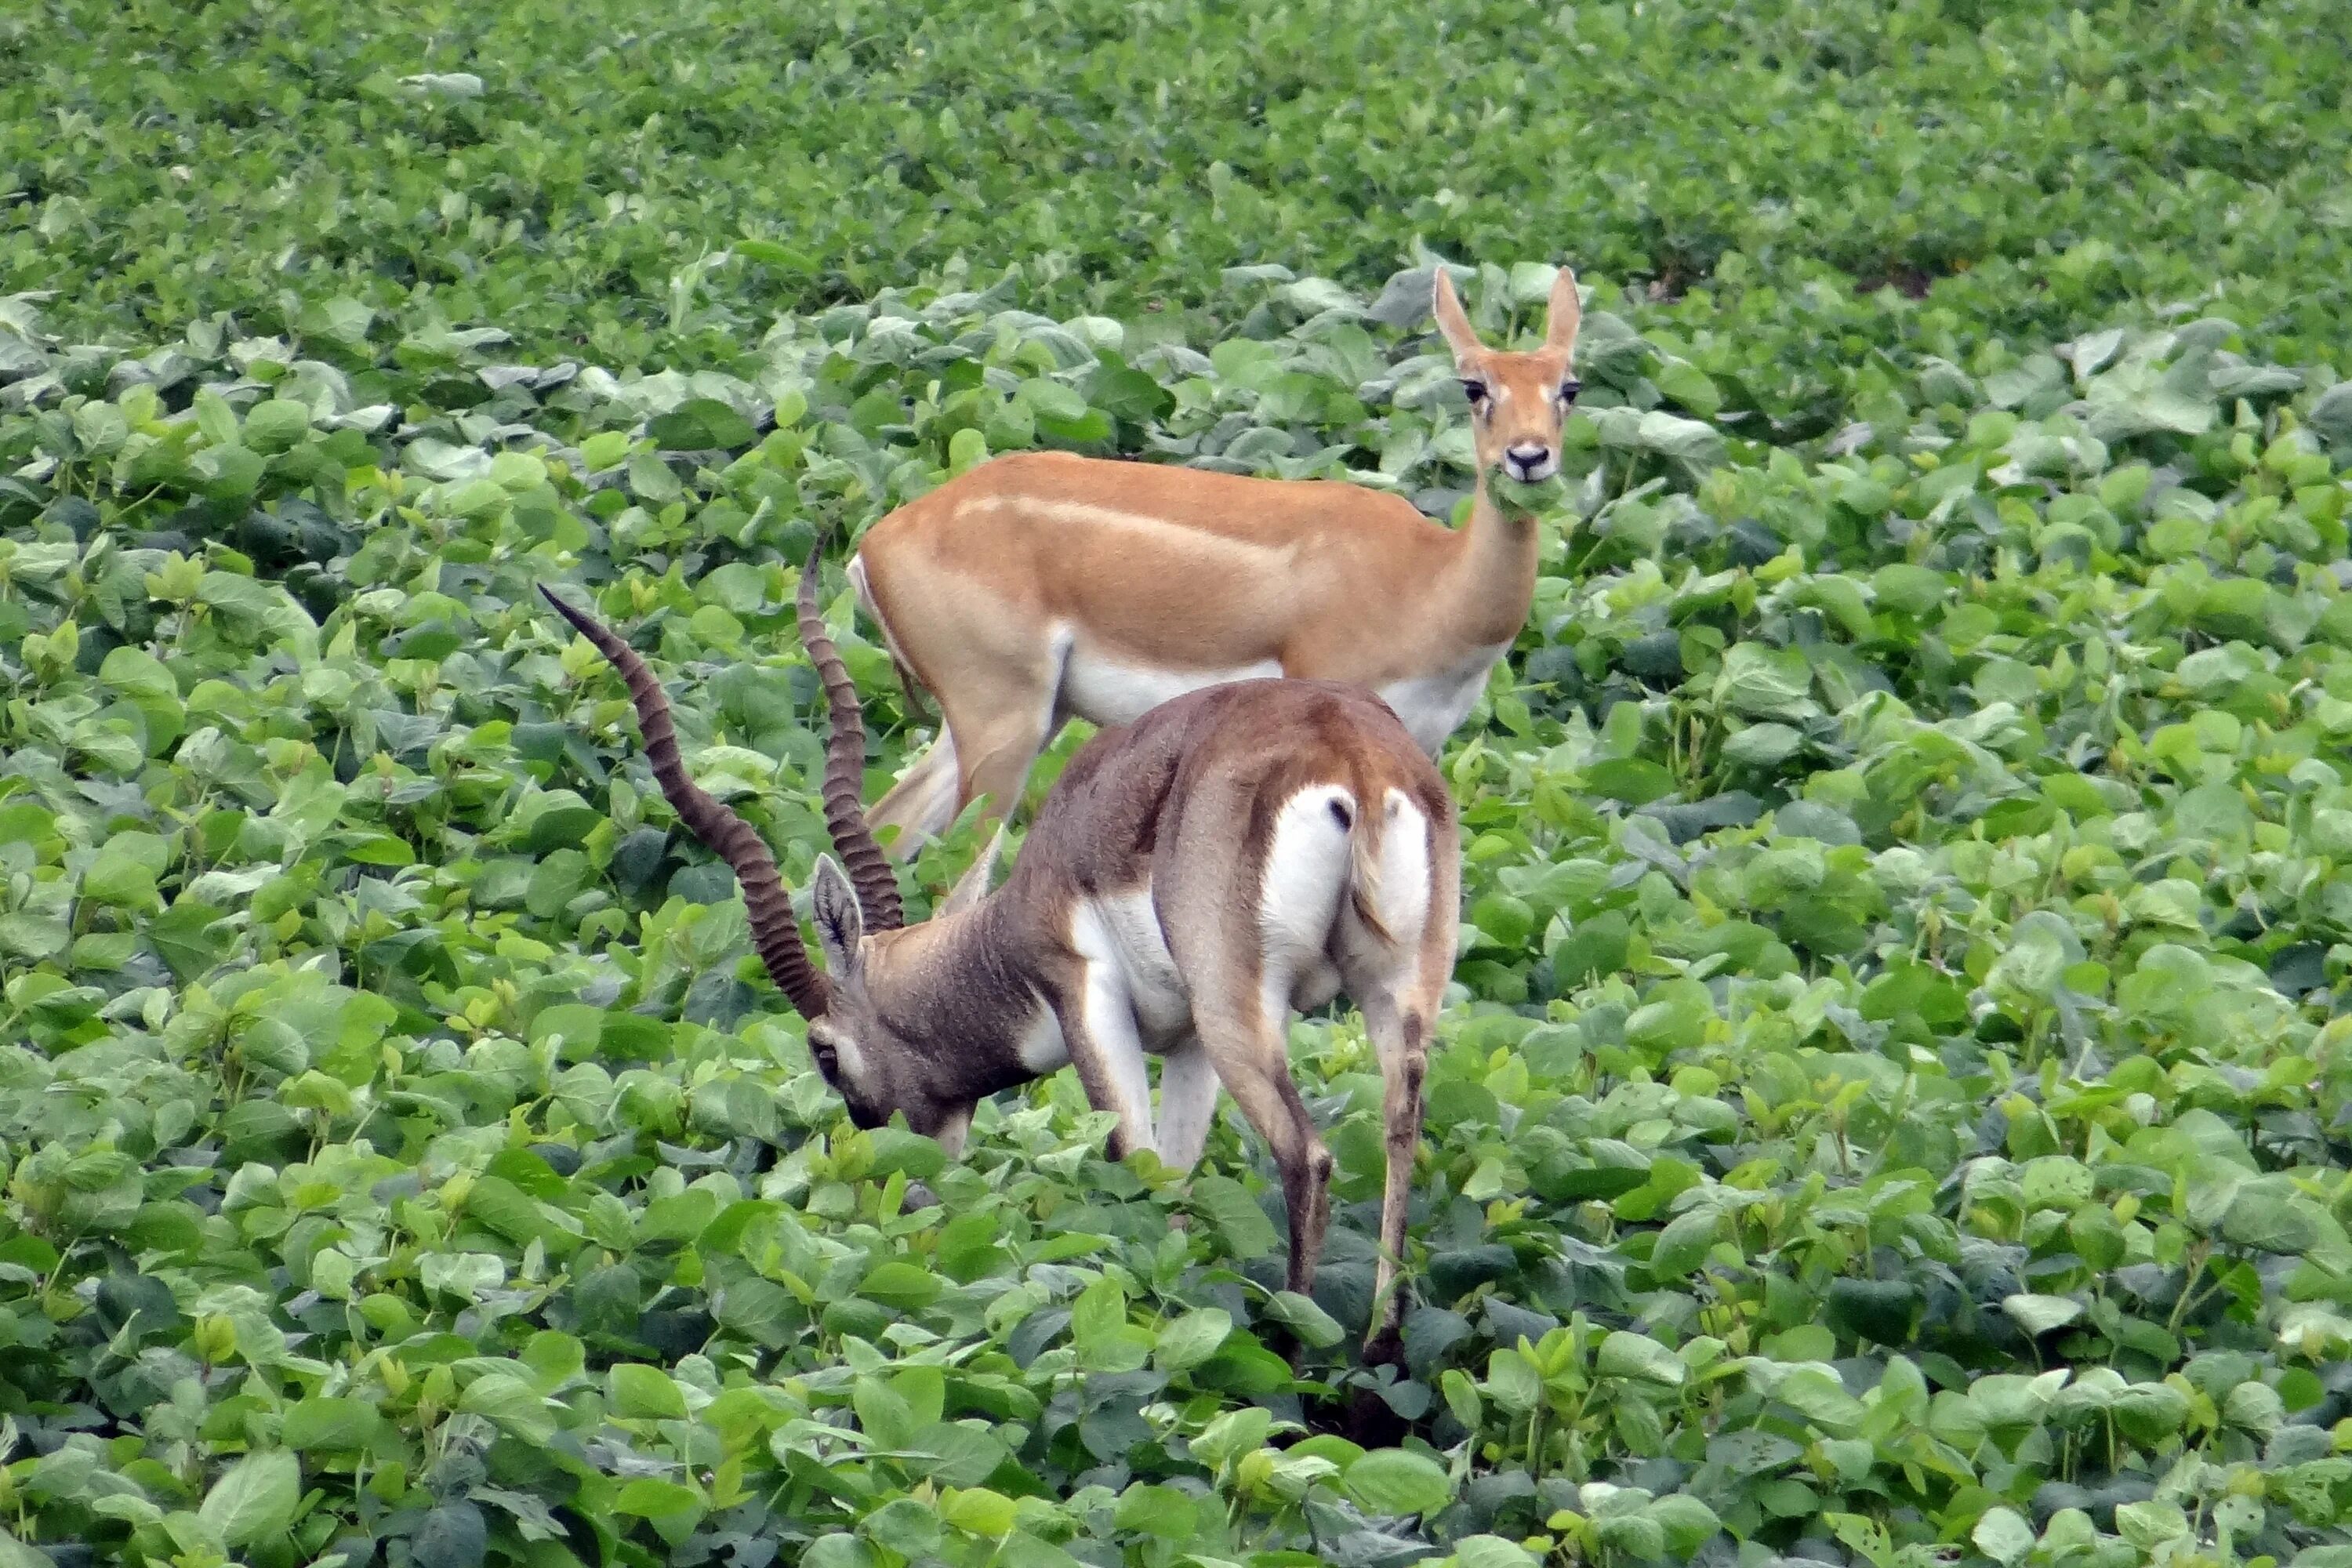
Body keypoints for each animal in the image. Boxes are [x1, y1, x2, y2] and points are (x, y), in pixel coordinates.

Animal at [543, 566, 1458, 1363]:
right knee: (1401, 1120)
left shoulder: (1087, 996)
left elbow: (1132, 1160)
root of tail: (1352, 755)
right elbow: (1177, 1175)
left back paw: (1299, 1357)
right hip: (1393, 996)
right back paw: (1376, 1353)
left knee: (1308, 1155)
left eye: (825, 1052)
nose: (902, 1176)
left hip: (1240, 1007)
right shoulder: (1188, 1042)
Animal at [847, 271, 1581, 860]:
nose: (1528, 456)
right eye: (1474, 386)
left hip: (1014, 719)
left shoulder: (1421, 744)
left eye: (1568, 386)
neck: (1428, 581)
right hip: (1004, 724)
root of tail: (873, 547)